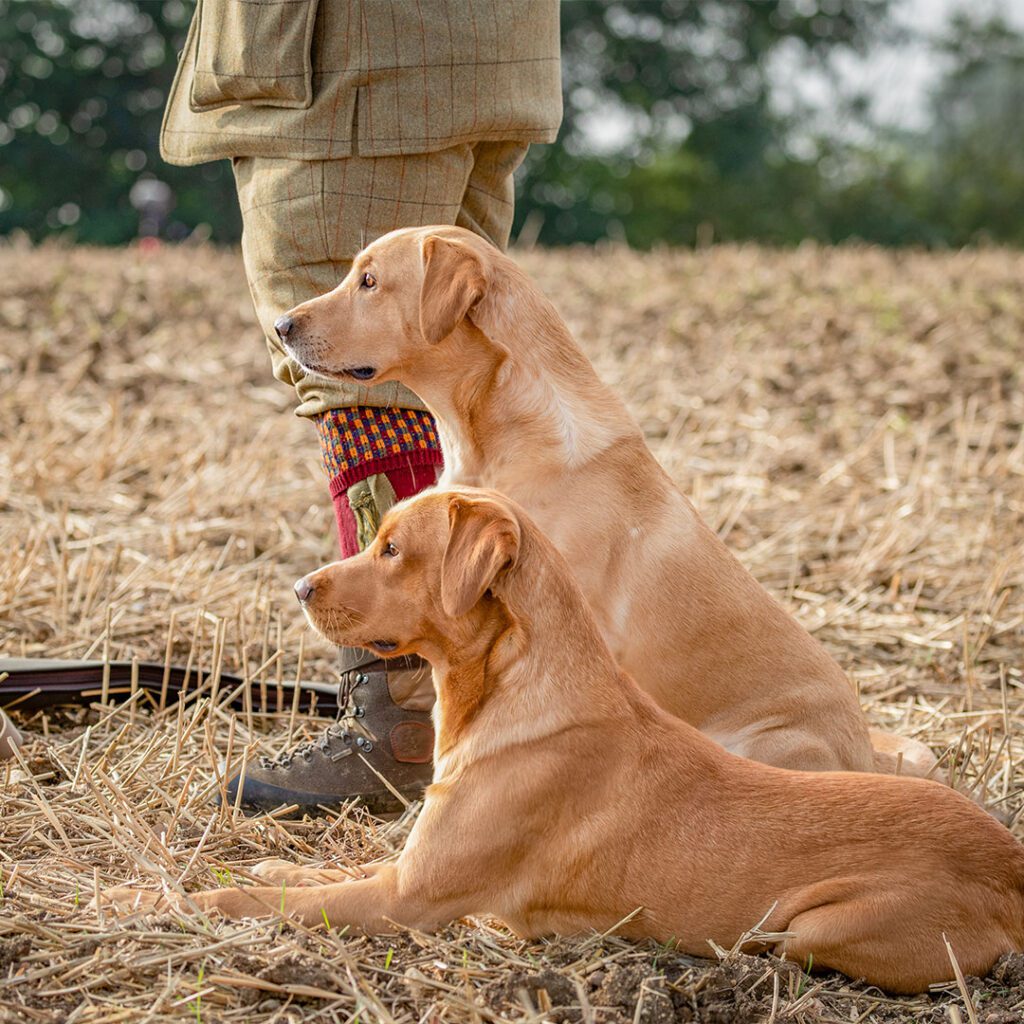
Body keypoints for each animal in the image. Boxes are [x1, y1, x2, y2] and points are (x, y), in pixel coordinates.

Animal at [101, 491, 1024, 995]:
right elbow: (305, 878)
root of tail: (1009, 861)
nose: (299, 586)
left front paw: (138, 901)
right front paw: (265, 864)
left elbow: (242, 904)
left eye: (393, 548)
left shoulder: (405, 899)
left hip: (820, 924)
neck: (508, 688)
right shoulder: (405, 871)